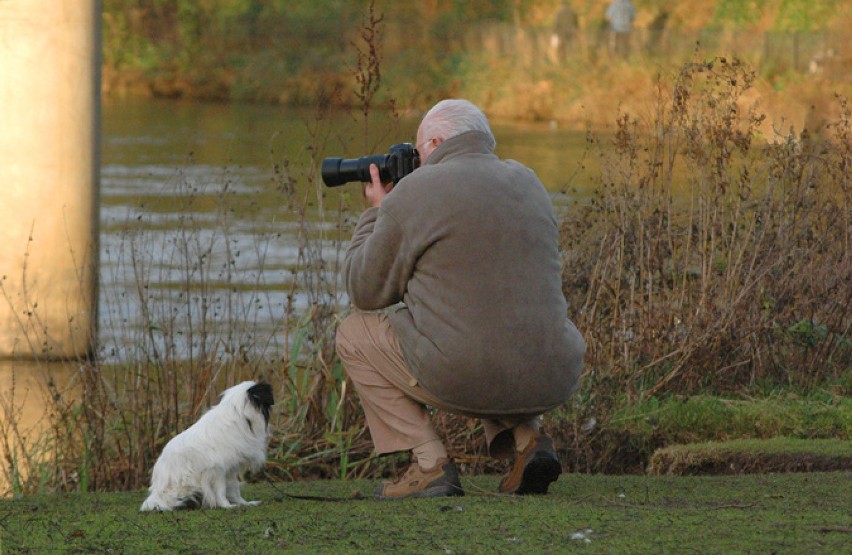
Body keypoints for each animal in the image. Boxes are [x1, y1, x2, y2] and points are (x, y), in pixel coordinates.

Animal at [140, 382, 272, 512]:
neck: (240, 414)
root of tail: (155, 496)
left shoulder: (231, 468)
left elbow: (234, 489)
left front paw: (244, 503)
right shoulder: (218, 469)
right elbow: (221, 491)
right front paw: (227, 506)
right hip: (184, 489)